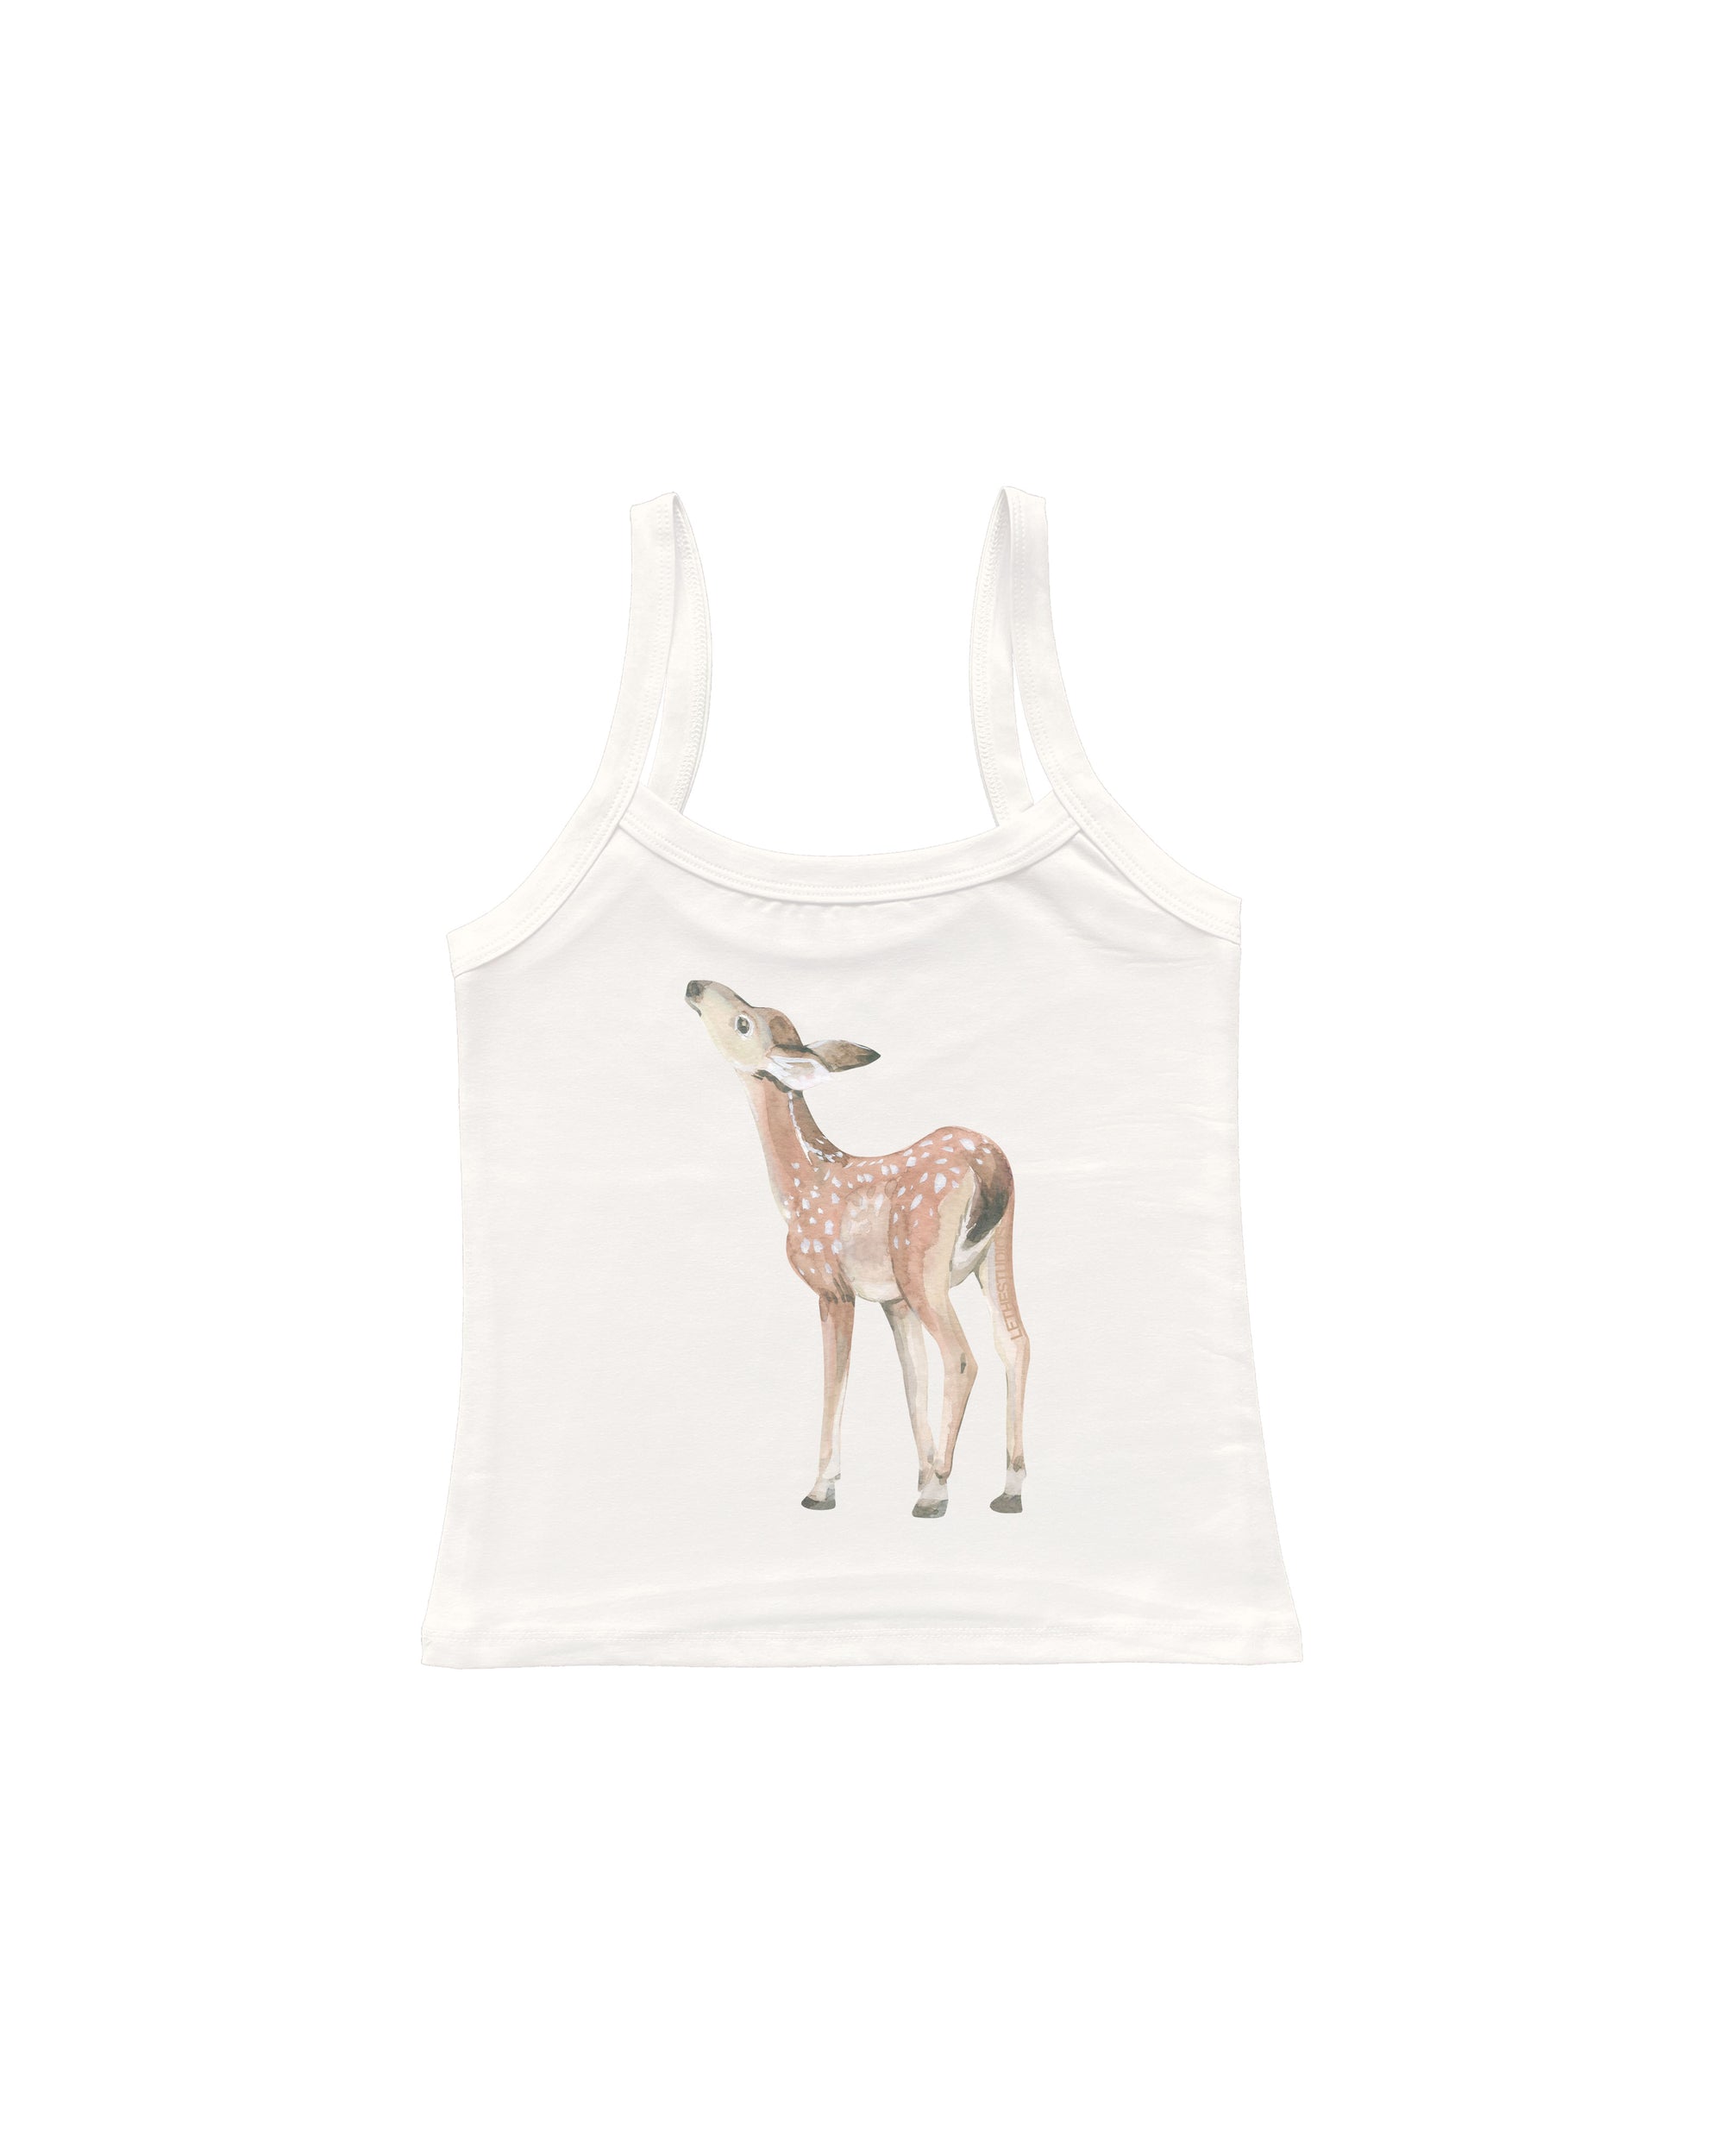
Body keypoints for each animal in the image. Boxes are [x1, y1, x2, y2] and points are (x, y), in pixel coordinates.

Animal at [685, 980, 1029, 1518]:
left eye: (743, 1023)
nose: (695, 986)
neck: (799, 1190)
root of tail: (987, 1164)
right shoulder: (893, 1301)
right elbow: (912, 1379)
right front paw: (922, 1476)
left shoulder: (833, 1287)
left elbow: (837, 1379)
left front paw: (823, 1488)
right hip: (996, 1251)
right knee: (1014, 1342)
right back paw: (1009, 1490)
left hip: (920, 1262)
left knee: (962, 1356)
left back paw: (939, 1496)